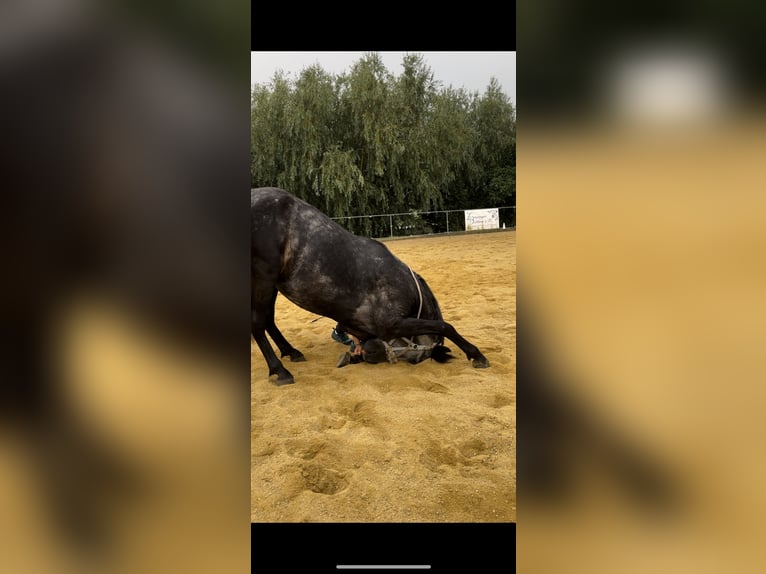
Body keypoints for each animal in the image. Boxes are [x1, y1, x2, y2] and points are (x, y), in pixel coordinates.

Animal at [251, 187, 490, 385]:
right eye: (417, 359)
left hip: (272, 285)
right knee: (258, 324)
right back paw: (279, 371)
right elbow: (444, 326)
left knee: (268, 320)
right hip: (262, 279)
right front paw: (476, 354)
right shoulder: (392, 323)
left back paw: (291, 352)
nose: (368, 353)